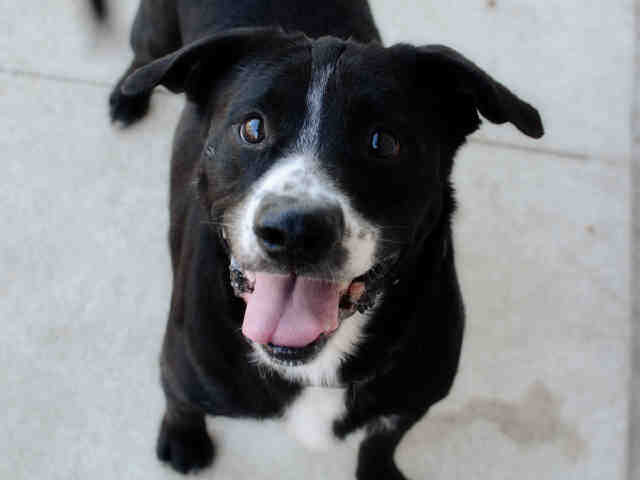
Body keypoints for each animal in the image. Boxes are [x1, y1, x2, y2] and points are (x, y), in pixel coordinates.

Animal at [107, 0, 544, 476]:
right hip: (156, 34)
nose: (296, 230)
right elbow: (180, 402)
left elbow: (382, 440)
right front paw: (183, 439)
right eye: (252, 128)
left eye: (383, 142)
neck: (313, 367)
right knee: (142, 59)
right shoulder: (180, 367)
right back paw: (126, 97)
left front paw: (378, 472)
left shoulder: (411, 401)